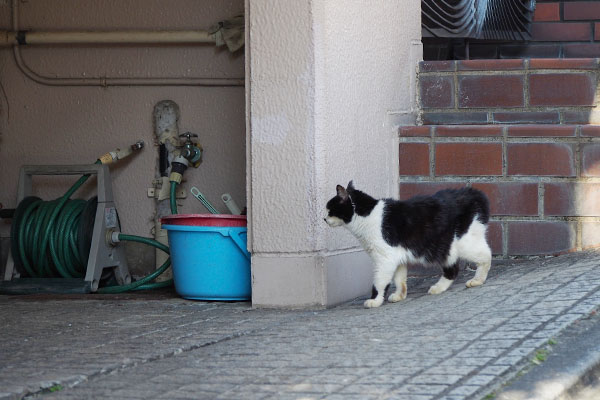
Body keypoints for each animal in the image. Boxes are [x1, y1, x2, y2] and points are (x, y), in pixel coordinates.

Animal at [326, 182, 490, 310]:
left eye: (329, 210)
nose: (324, 219)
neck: (368, 215)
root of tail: (473, 193)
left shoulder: (384, 259)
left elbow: (379, 282)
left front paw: (375, 300)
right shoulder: (397, 257)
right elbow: (400, 279)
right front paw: (399, 295)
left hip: (461, 243)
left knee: (486, 255)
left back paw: (477, 280)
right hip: (446, 248)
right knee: (453, 270)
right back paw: (438, 288)